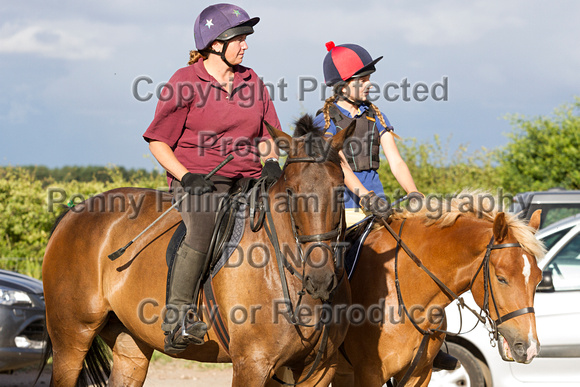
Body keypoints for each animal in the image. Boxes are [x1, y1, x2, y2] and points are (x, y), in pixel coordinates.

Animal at [39, 116, 354, 387]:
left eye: (340, 191)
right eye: (291, 192)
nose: (321, 280)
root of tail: (71, 214)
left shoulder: (319, 370)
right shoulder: (252, 365)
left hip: (130, 342)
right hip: (72, 337)